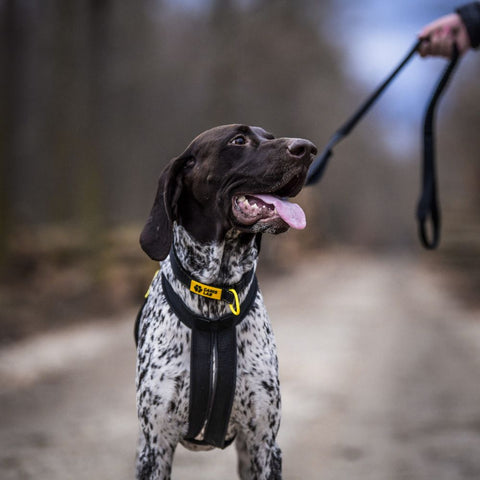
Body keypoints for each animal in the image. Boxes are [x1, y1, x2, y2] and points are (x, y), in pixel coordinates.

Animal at [136, 124, 316, 480]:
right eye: (238, 140)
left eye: (270, 136)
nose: (308, 148)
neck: (215, 298)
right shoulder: (155, 448)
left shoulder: (264, 446)